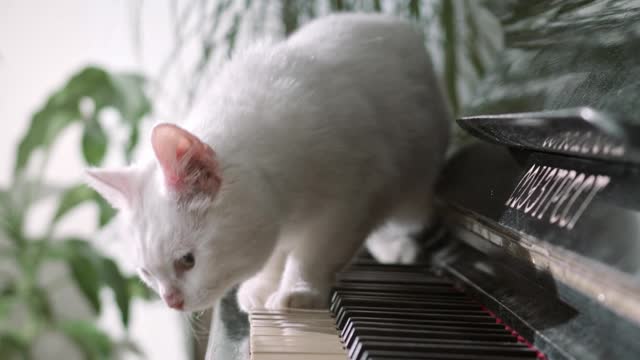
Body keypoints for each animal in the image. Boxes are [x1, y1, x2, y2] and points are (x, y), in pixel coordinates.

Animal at [85, 14, 450, 312]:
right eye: (146, 272)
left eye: (187, 261)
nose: (171, 302)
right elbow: (275, 254)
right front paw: (263, 285)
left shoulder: (356, 195)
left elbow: (315, 251)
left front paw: (299, 290)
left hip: (413, 189)